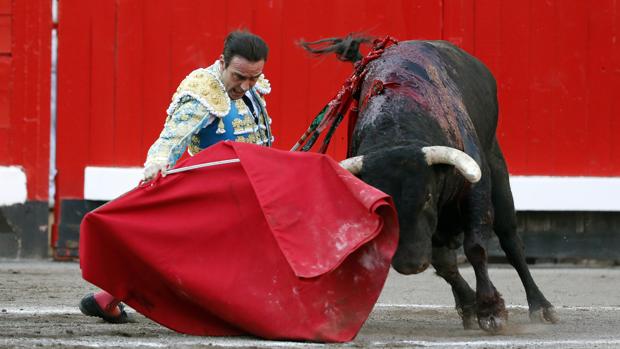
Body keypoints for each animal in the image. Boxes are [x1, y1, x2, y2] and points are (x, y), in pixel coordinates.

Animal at [302, 36, 560, 332]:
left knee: (510, 240)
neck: (397, 130)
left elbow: (476, 247)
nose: (410, 264)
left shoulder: (475, 190)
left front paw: (490, 311)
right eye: (383, 206)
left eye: (426, 196)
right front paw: (471, 306)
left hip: (497, 170)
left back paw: (541, 307)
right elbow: (445, 264)